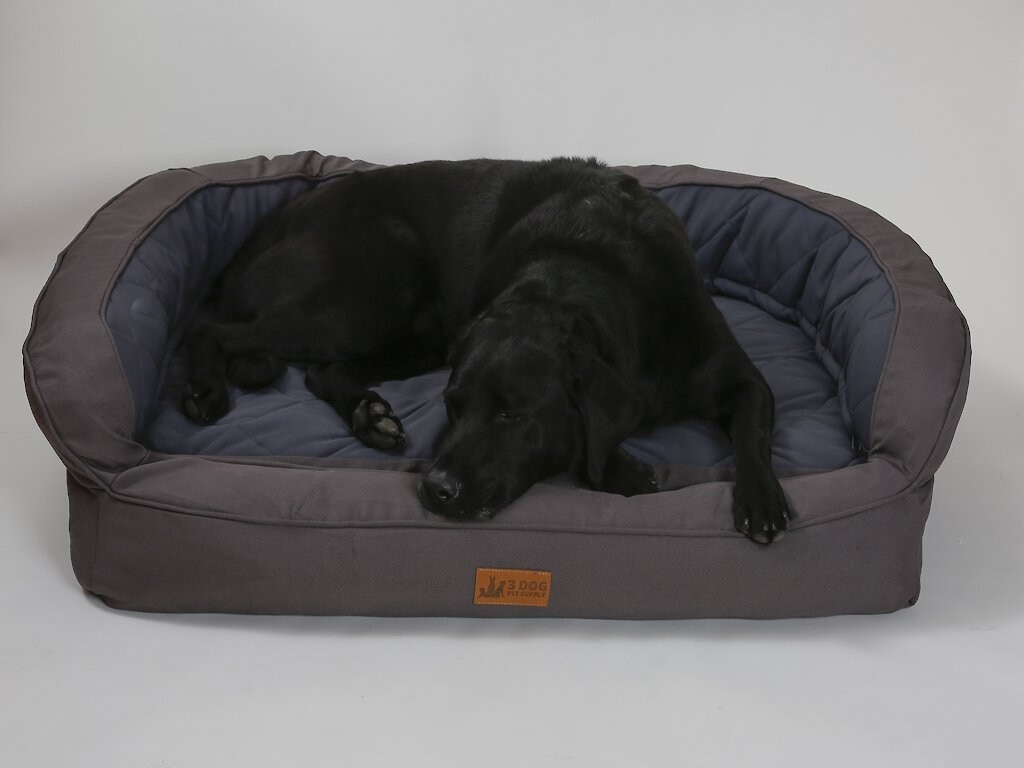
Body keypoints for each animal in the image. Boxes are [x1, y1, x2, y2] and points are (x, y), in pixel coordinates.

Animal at [182, 158, 790, 544]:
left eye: (511, 414)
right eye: (452, 406)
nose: (434, 488)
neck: (583, 270)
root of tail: (261, 233)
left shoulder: (745, 380)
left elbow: (751, 432)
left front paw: (762, 501)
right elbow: (590, 449)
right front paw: (624, 470)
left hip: (415, 336)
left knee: (320, 371)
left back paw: (369, 415)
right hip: (365, 301)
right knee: (212, 328)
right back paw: (205, 390)